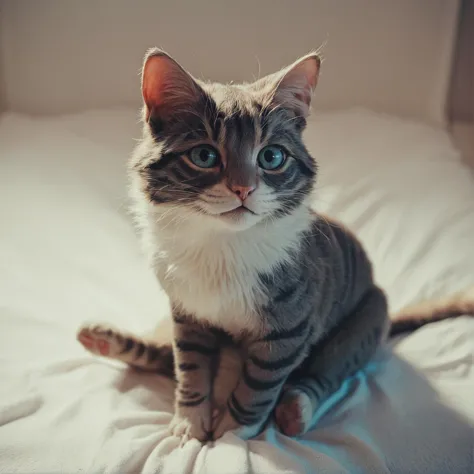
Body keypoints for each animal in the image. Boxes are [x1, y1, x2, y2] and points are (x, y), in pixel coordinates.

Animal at [76, 48, 472, 440]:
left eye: (272, 157)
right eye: (204, 155)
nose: (243, 188)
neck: (223, 243)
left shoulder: (289, 327)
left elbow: (258, 385)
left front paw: (233, 433)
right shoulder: (186, 310)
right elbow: (189, 365)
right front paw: (190, 421)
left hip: (367, 318)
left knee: (327, 369)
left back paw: (296, 409)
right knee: (163, 353)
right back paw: (104, 339)